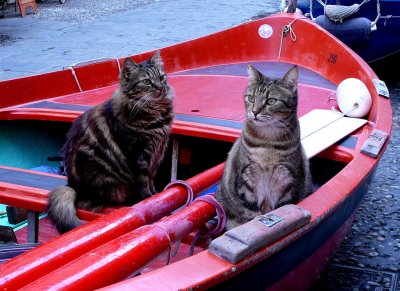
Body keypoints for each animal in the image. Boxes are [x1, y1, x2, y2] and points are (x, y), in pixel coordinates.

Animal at [47, 50, 173, 235]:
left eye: (162, 77)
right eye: (147, 82)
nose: (161, 87)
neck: (155, 112)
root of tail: (72, 185)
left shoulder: (155, 153)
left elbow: (151, 179)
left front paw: (156, 194)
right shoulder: (138, 153)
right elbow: (143, 182)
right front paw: (148, 198)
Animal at [216, 65, 312, 232]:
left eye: (271, 101)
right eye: (251, 98)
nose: (254, 111)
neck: (268, 142)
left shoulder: (287, 178)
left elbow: (282, 209)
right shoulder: (247, 177)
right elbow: (252, 213)